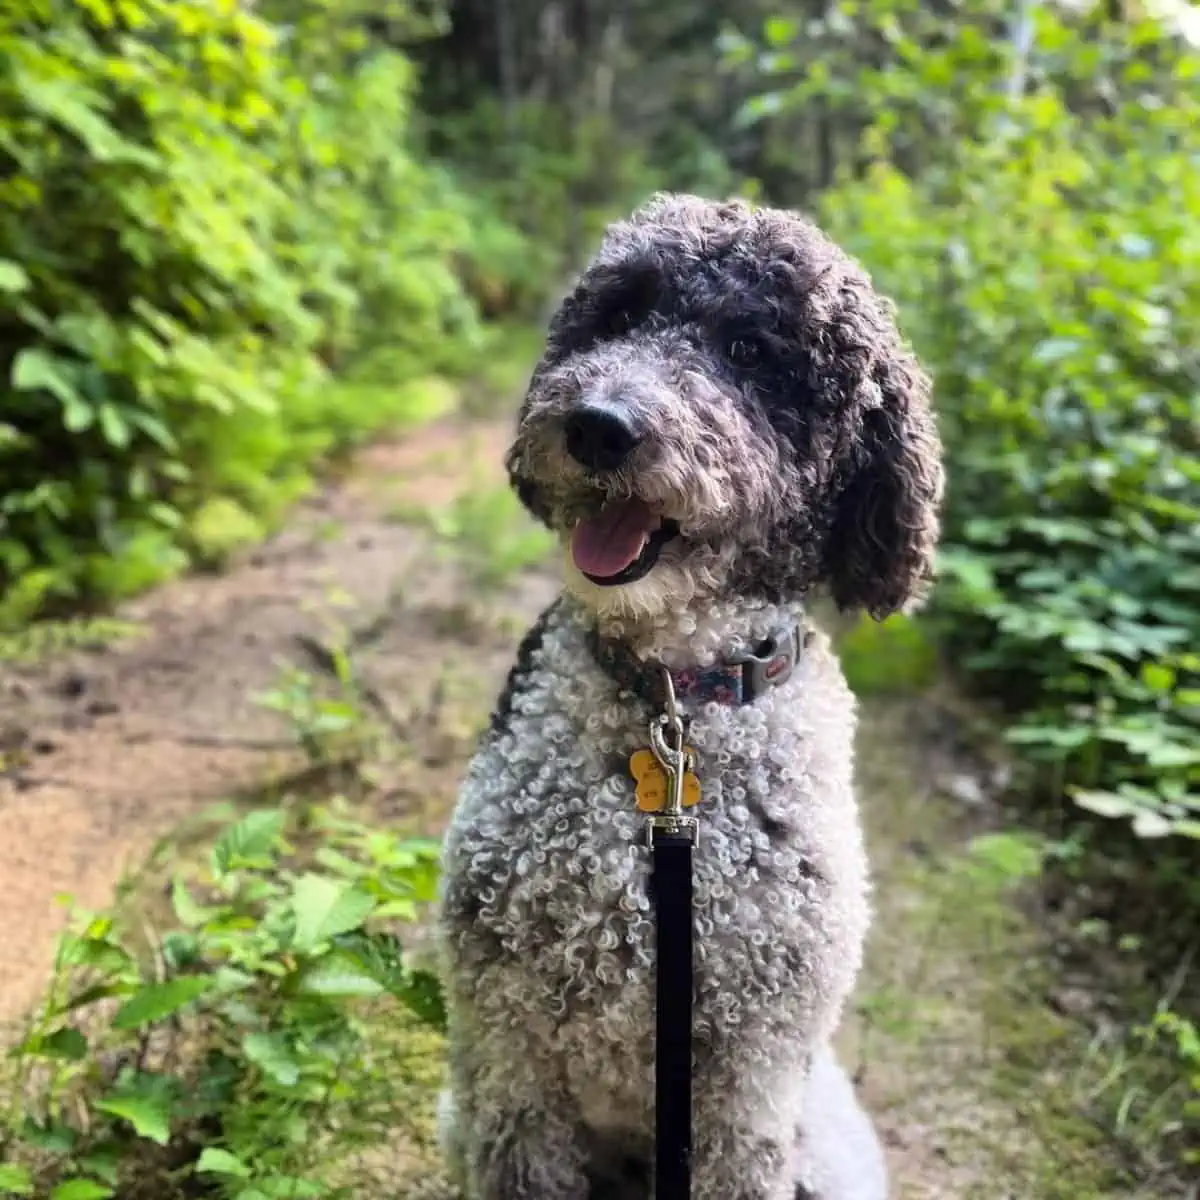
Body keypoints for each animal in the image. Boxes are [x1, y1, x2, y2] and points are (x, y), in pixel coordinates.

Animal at [436, 192, 940, 1195]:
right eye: (617, 315)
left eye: (749, 350)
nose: (598, 424)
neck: (672, 696)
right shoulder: (508, 1053)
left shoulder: (752, 1073)